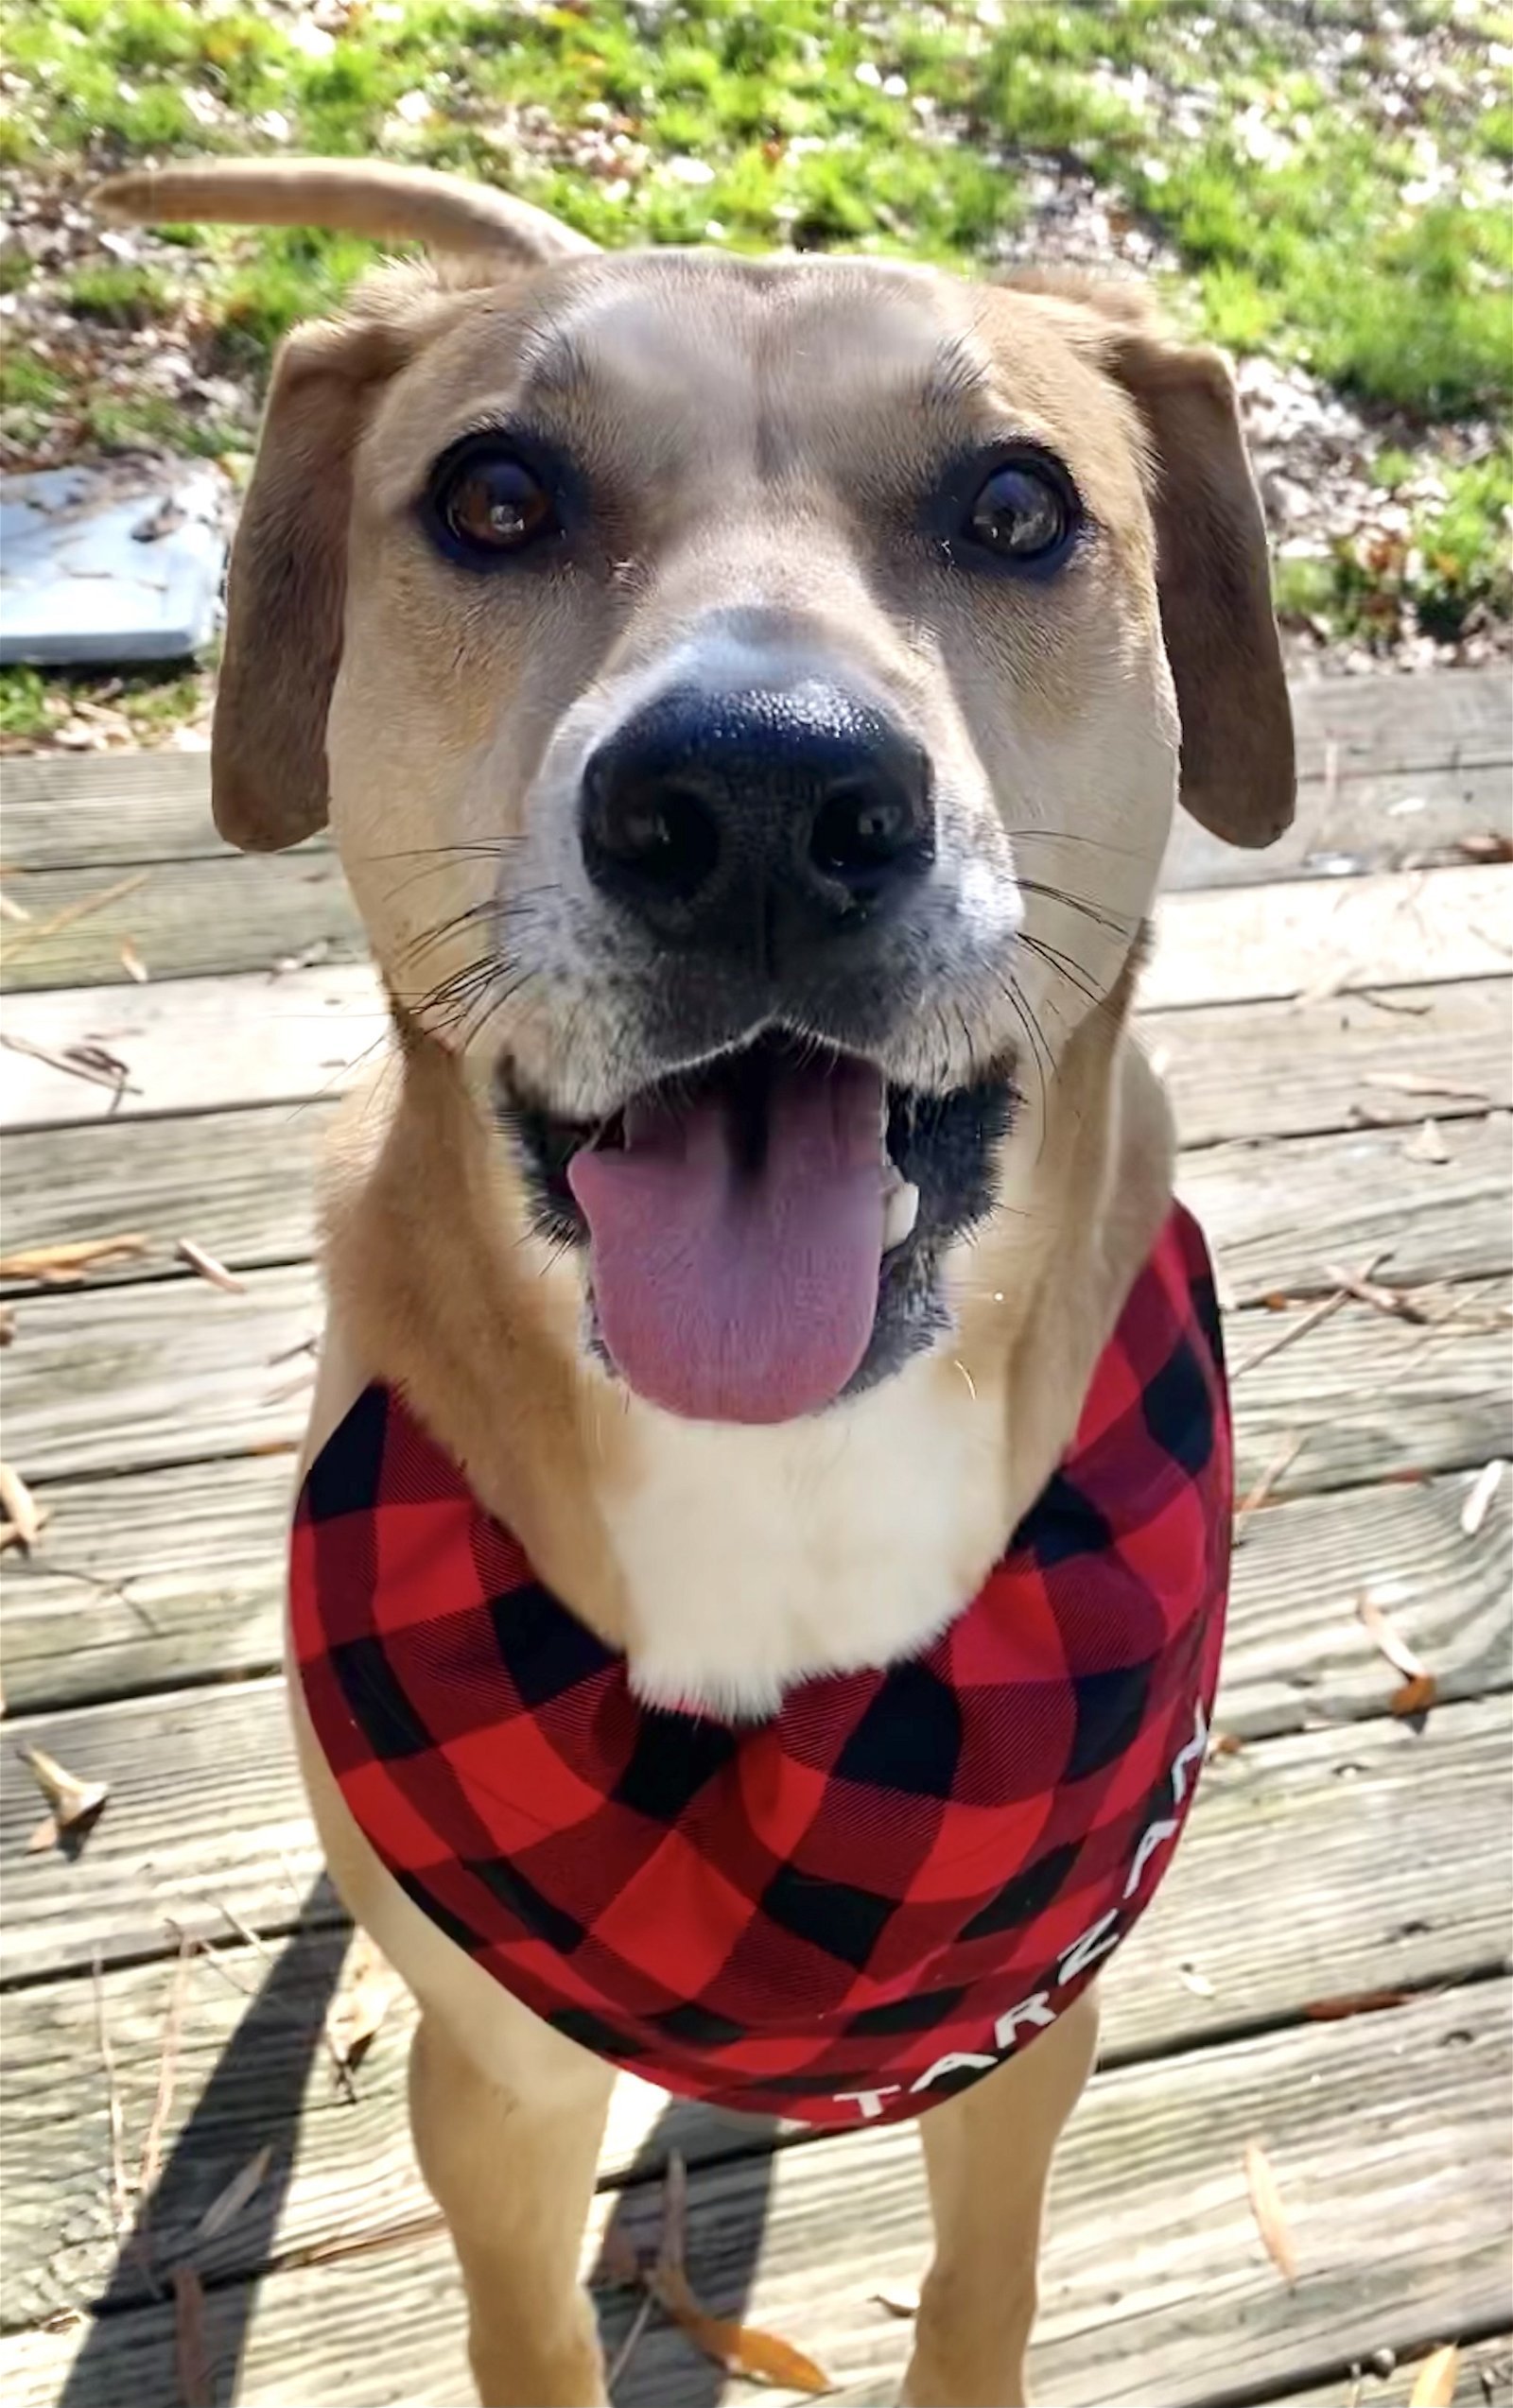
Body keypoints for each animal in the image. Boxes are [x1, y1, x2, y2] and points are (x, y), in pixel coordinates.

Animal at [100, 160, 1291, 2398]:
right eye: (494, 495)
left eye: (1016, 504)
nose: (754, 795)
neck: (782, 1463)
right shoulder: (495, 2086)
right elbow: (527, 2329)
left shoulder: (1031, 2023)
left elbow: (984, 2287)